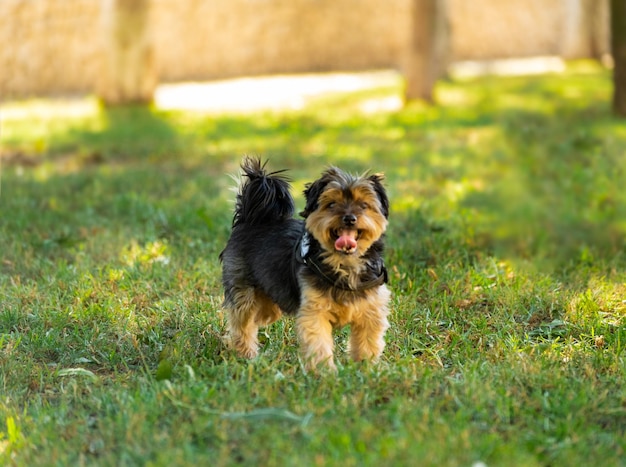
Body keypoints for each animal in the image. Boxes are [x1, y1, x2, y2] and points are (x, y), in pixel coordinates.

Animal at [217, 159, 388, 372]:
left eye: (364, 205)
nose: (349, 218)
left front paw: (365, 369)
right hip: (243, 288)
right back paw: (245, 353)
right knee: (243, 322)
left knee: (258, 317)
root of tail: (249, 218)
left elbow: (367, 342)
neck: (344, 265)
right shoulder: (314, 312)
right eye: (332, 204)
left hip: (272, 298)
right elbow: (319, 343)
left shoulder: (370, 312)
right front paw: (324, 372)